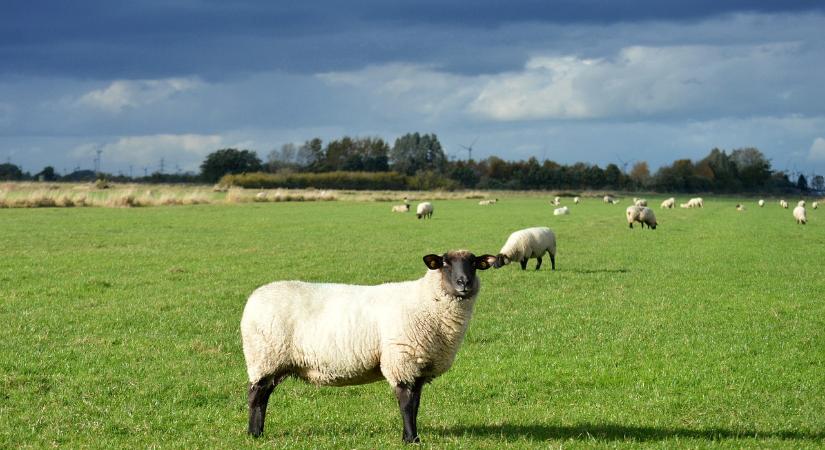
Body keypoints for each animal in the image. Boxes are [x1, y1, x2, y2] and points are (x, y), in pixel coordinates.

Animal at [238, 250, 496, 442]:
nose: (464, 283)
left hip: (274, 363)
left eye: (474, 263)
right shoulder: (402, 360)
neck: (426, 301)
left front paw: (411, 436)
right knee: (255, 396)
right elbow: (406, 403)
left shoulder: (417, 367)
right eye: (444, 263)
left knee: (263, 395)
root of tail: (253, 298)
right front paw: (411, 439)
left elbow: (416, 404)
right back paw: (253, 435)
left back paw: (257, 432)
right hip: (264, 357)